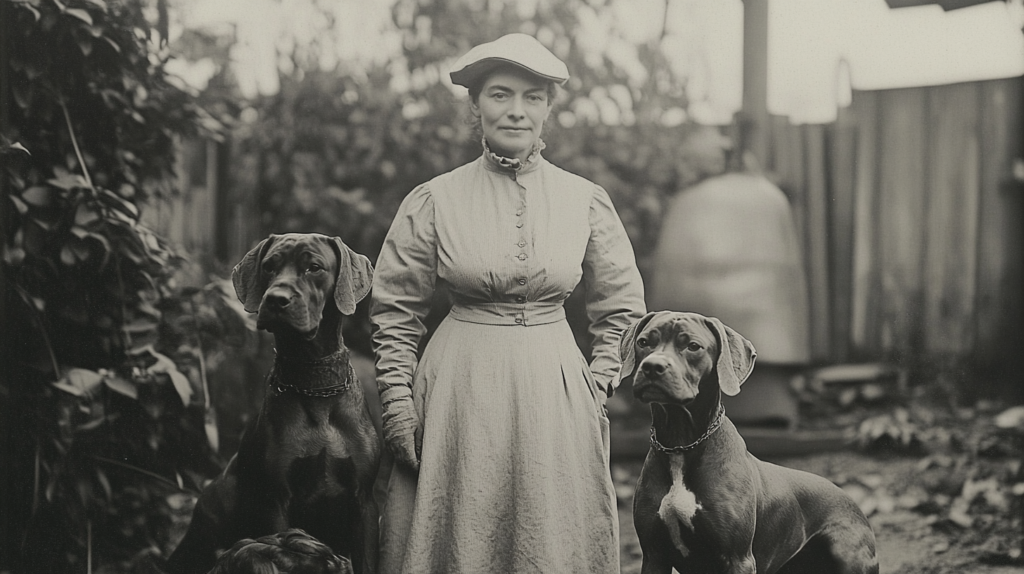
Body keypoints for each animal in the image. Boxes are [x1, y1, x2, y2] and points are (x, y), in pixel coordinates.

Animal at [166, 233, 380, 572]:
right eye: (269, 266)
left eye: (314, 267)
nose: (276, 299)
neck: (314, 385)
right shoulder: (276, 499)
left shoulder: (365, 501)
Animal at [618, 311, 876, 572]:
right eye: (643, 342)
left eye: (693, 346)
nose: (652, 366)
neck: (679, 443)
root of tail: (855, 505)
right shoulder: (654, 554)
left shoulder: (738, 557)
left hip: (846, 552)